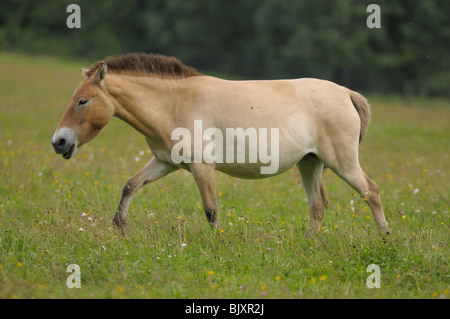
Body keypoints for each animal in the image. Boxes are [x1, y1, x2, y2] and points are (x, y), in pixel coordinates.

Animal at [51, 53, 390, 238]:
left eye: (83, 101)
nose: (59, 142)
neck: (174, 103)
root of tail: (346, 92)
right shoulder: (165, 163)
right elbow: (130, 185)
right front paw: (120, 226)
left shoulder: (202, 168)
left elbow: (211, 211)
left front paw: (218, 244)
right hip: (310, 163)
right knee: (318, 206)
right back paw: (308, 244)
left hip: (342, 163)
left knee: (371, 192)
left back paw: (386, 238)